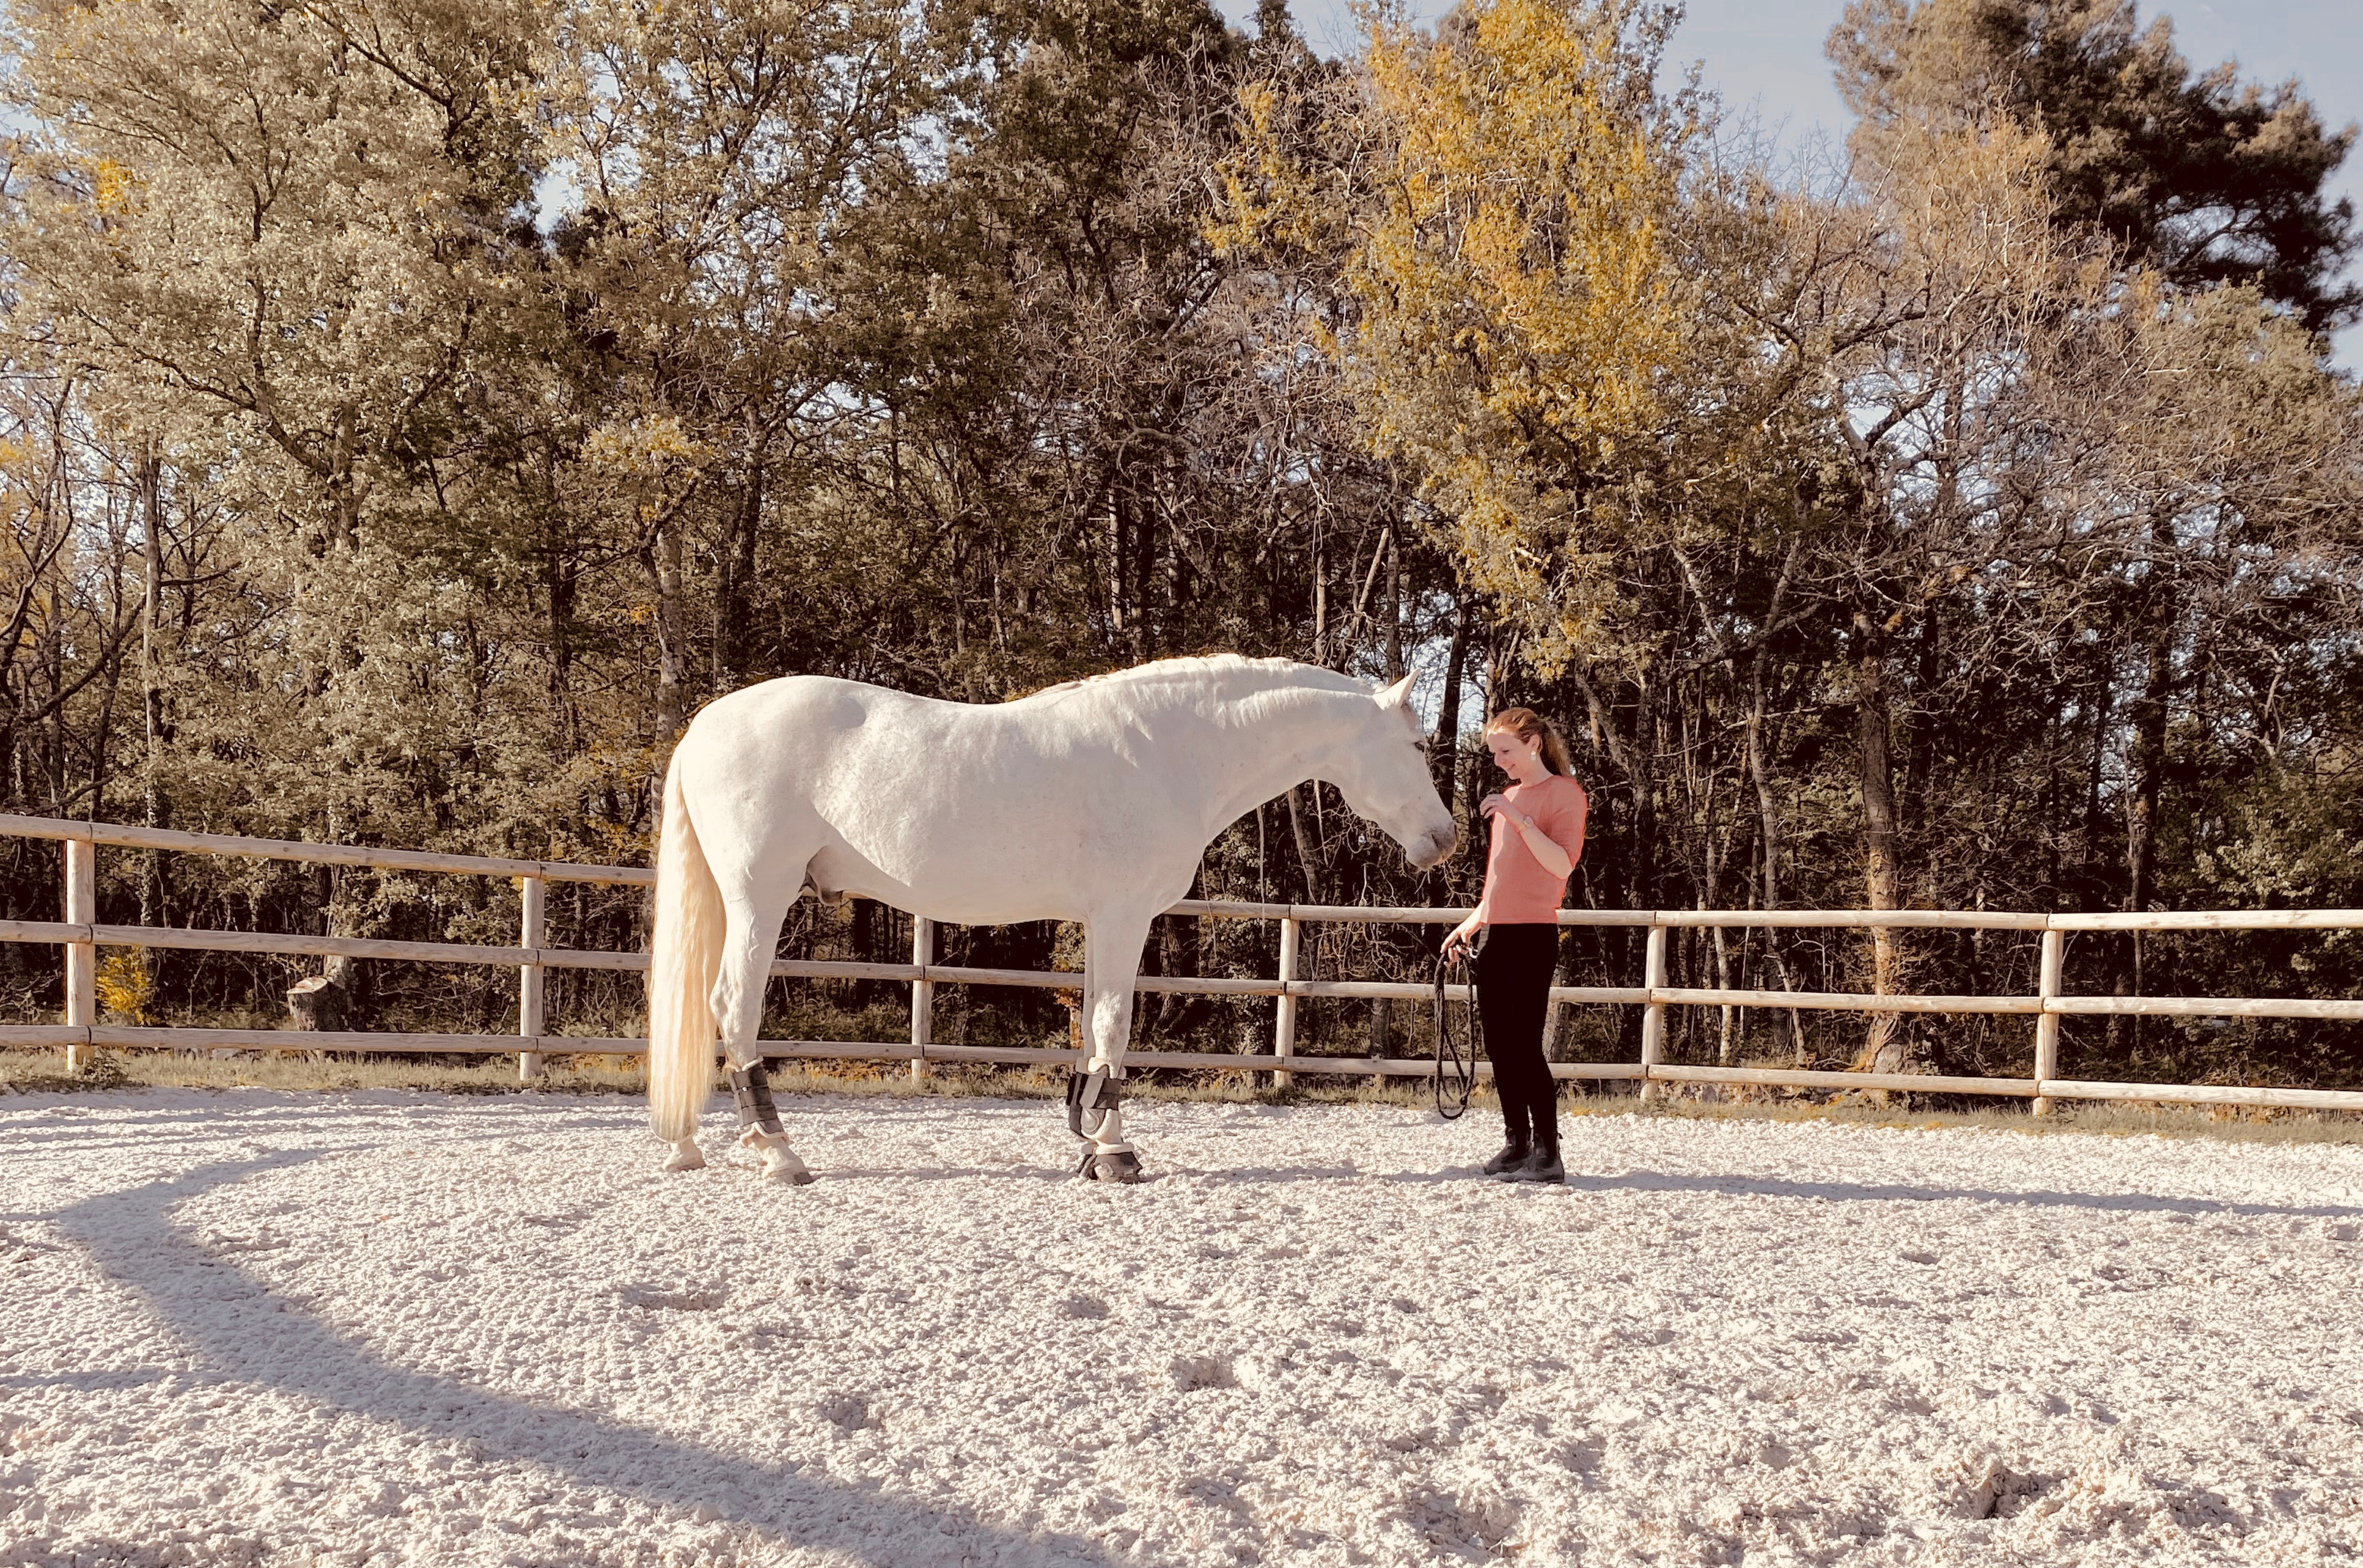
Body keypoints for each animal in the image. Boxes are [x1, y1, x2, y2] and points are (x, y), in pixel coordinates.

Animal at [645, 654, 1458, 1183]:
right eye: (1416, 744)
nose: (1444, 839)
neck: (1169, 751)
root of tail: (704, 727)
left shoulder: (1100, 920)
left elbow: (1094, 1033)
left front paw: (1093, 1144)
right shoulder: (1124, 915)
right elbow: (1114, 1027)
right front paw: (1116, 1155)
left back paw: (689, 1146)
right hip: (760, 898)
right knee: (733, 1007)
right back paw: (780, 1154)